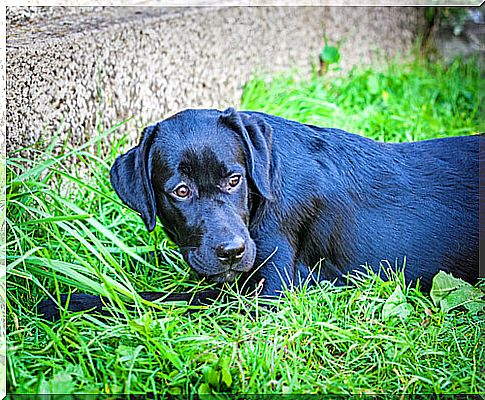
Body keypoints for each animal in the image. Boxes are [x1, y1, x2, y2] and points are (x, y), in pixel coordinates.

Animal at [36, 108, 476, 320]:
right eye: (181, 191)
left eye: (235, 179)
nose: (231, 251)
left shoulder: (269, 294)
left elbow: (161, 299)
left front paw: (65, 301)